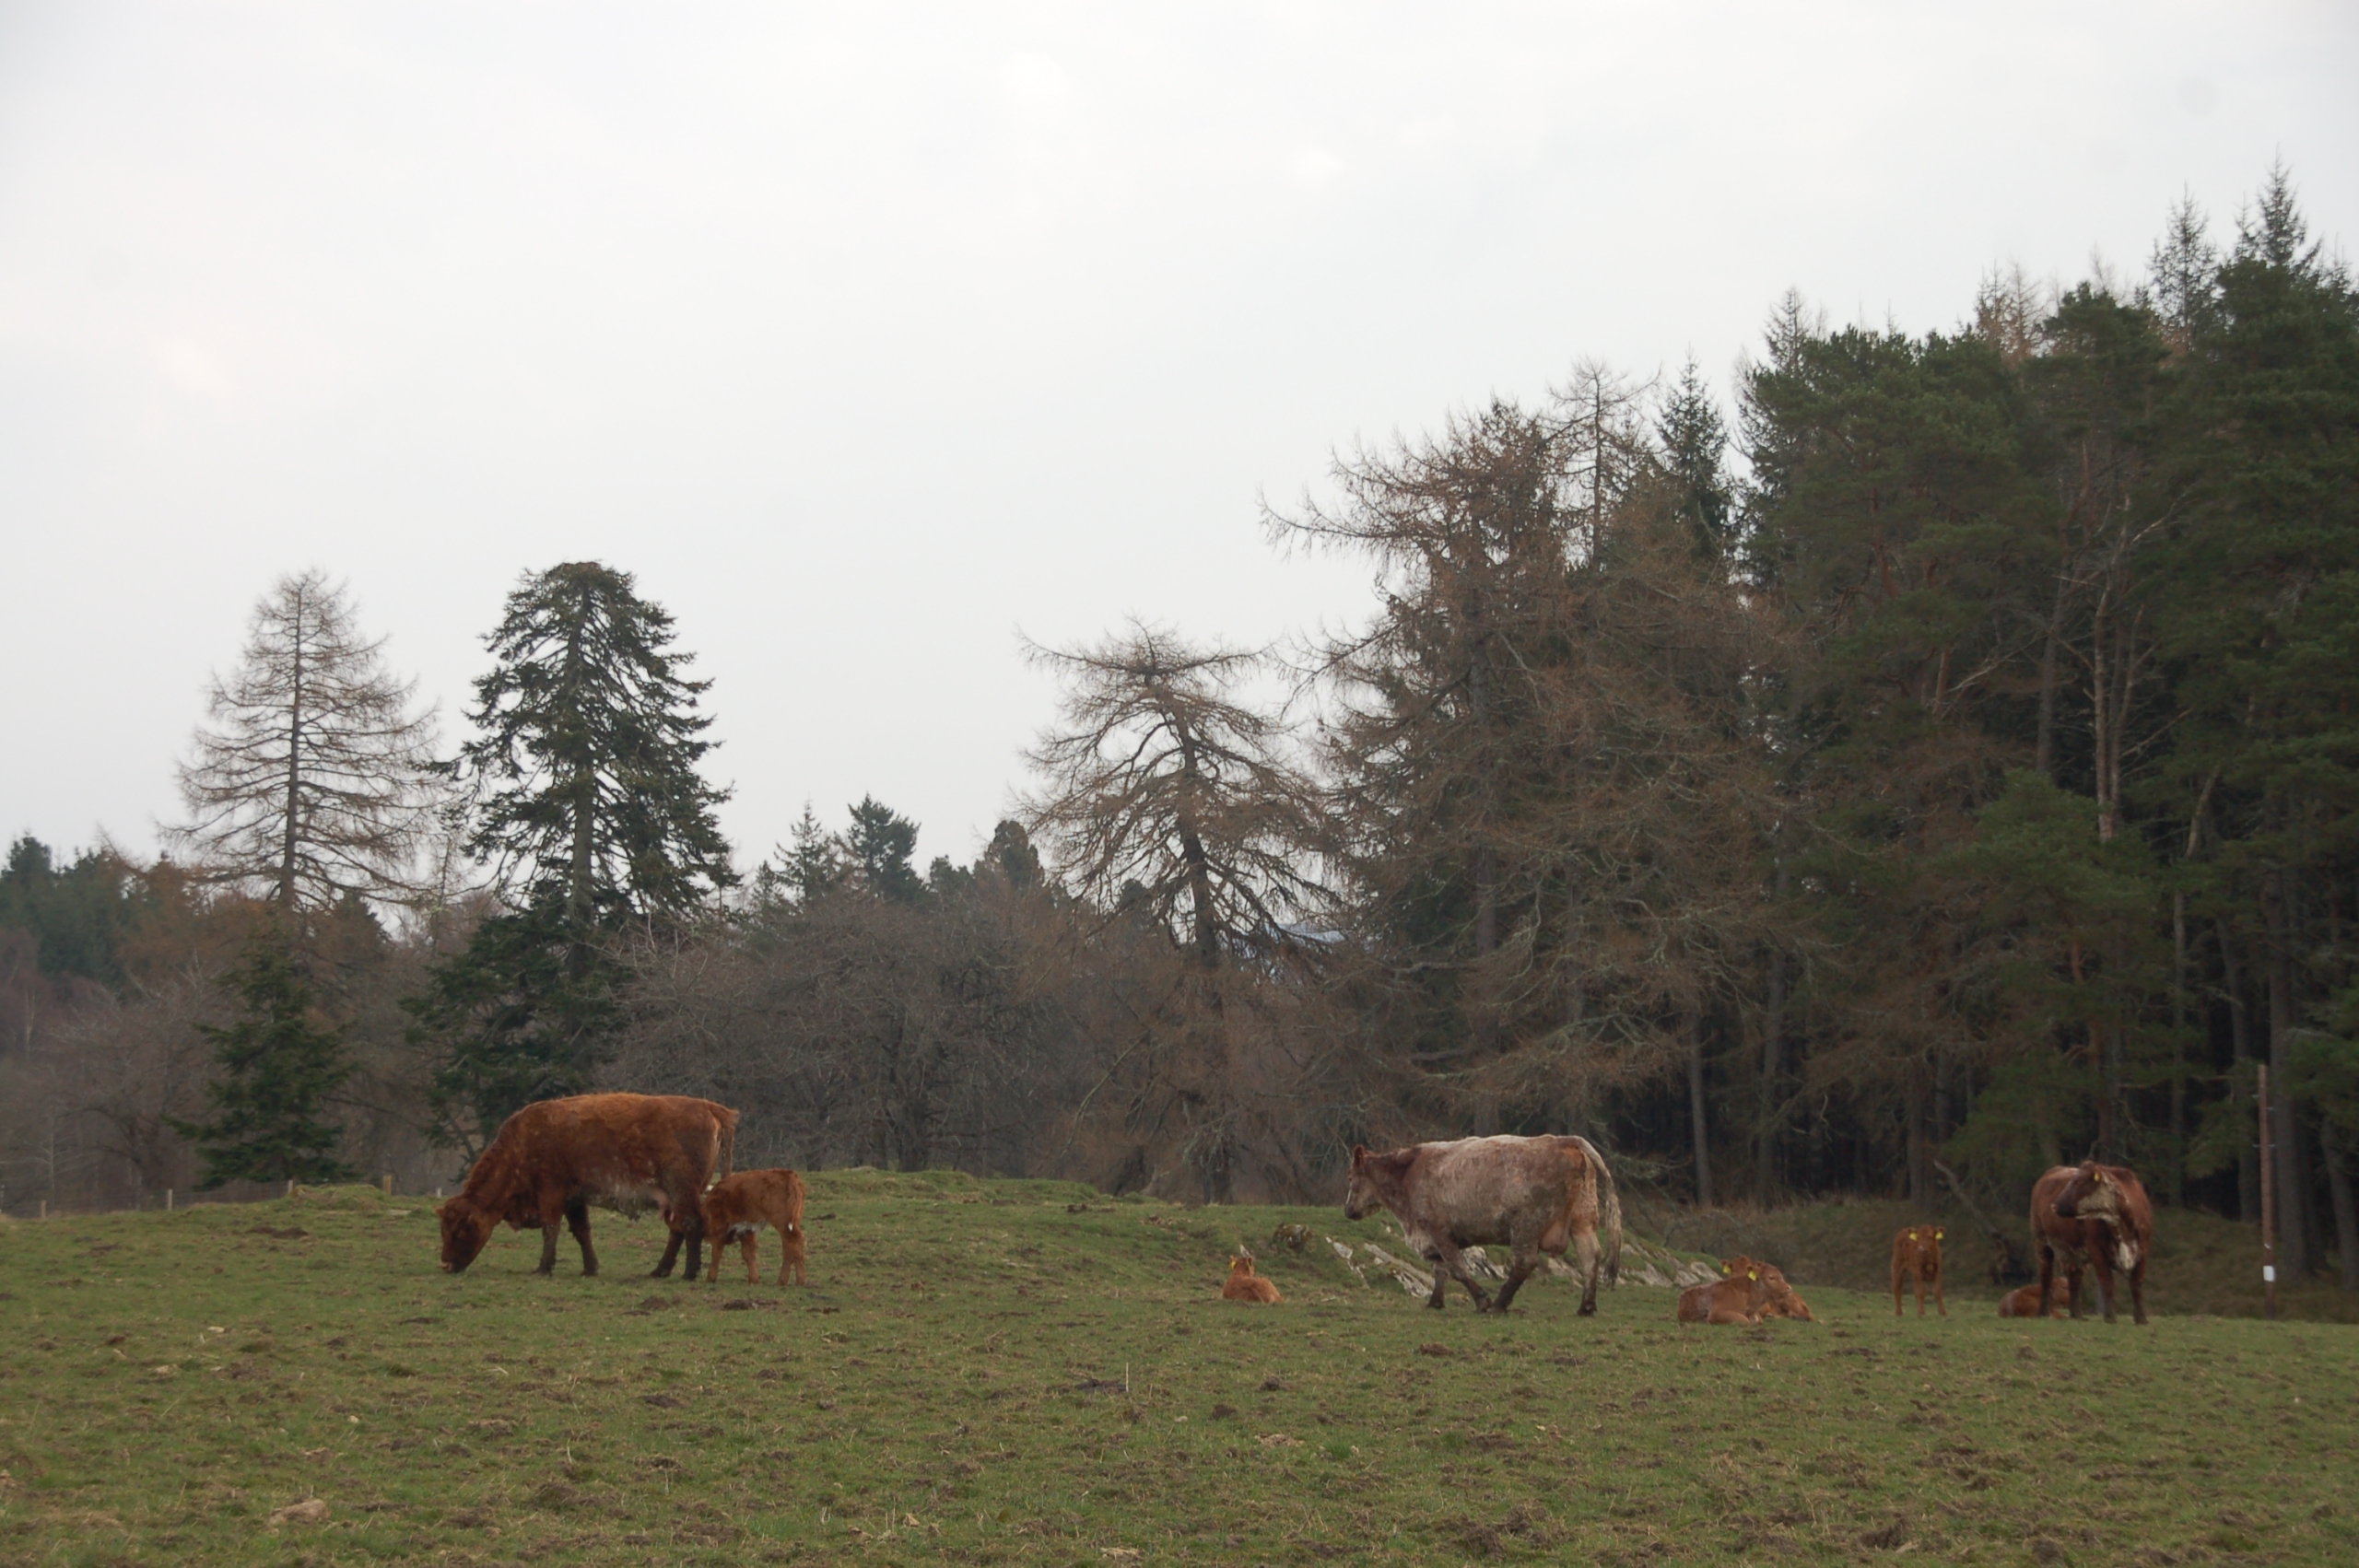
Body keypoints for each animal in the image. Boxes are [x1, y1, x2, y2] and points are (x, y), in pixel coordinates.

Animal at [698, 1160, 811, 1282]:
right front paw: (754, 1279)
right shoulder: (745, 1230)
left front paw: (711, 1277)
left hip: (783, 1224)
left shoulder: (719, 1229)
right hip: (791, 1224)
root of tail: (789, 1175)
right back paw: (783, 1281)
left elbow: (716, 1252)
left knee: (795, 1244)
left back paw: (798, 1280)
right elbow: (748, 1254)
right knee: (788, 1247)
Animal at [1349, 1131, 1623, 1311]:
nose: (1348, 1211)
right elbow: (1440, 1270)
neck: (1407, 1173)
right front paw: (1435, 1302)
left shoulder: (1437, 1229)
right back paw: (1586, 1306)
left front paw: (1482, 1300)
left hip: (1525, 1224)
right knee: (1590, 1258)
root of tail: (1563, 1140)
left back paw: (1499, 1304)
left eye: (1351, 1177)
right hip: (1582, 1221)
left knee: (1525, 1262)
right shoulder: (1434, 1238)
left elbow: (1457, 1269)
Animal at [2028, 1160, 2160, 1320]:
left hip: (2074, 1250)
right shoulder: (2096, 1249)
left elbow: (2136, 1284)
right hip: (2041, 1240)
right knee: (2046, 1277)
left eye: (2079, 1182)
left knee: (2075, 1277)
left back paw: (2076, 1314)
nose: (2054, 1205)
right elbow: (2107, 1282)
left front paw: (2141, 1319)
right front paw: (2110, 1317)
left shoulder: (2143, 1249)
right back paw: (2043, 1312)